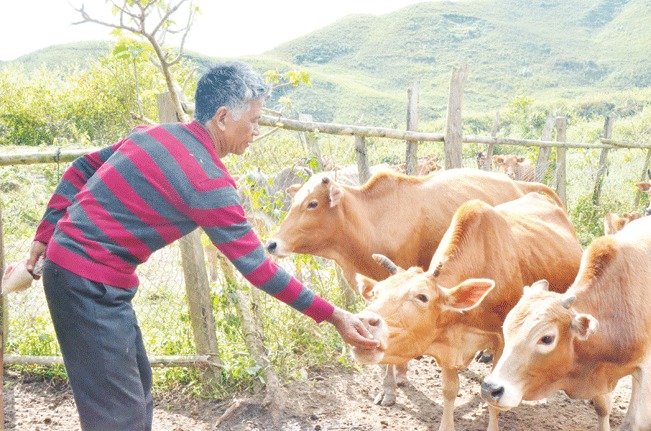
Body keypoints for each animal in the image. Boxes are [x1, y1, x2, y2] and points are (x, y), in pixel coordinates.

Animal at [348, 193, 584, 431]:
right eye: (375, 293)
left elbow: (493, 395)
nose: (361, 323)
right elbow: (449, 390)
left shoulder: (503, 341)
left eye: (422, 296)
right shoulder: (446, 344)